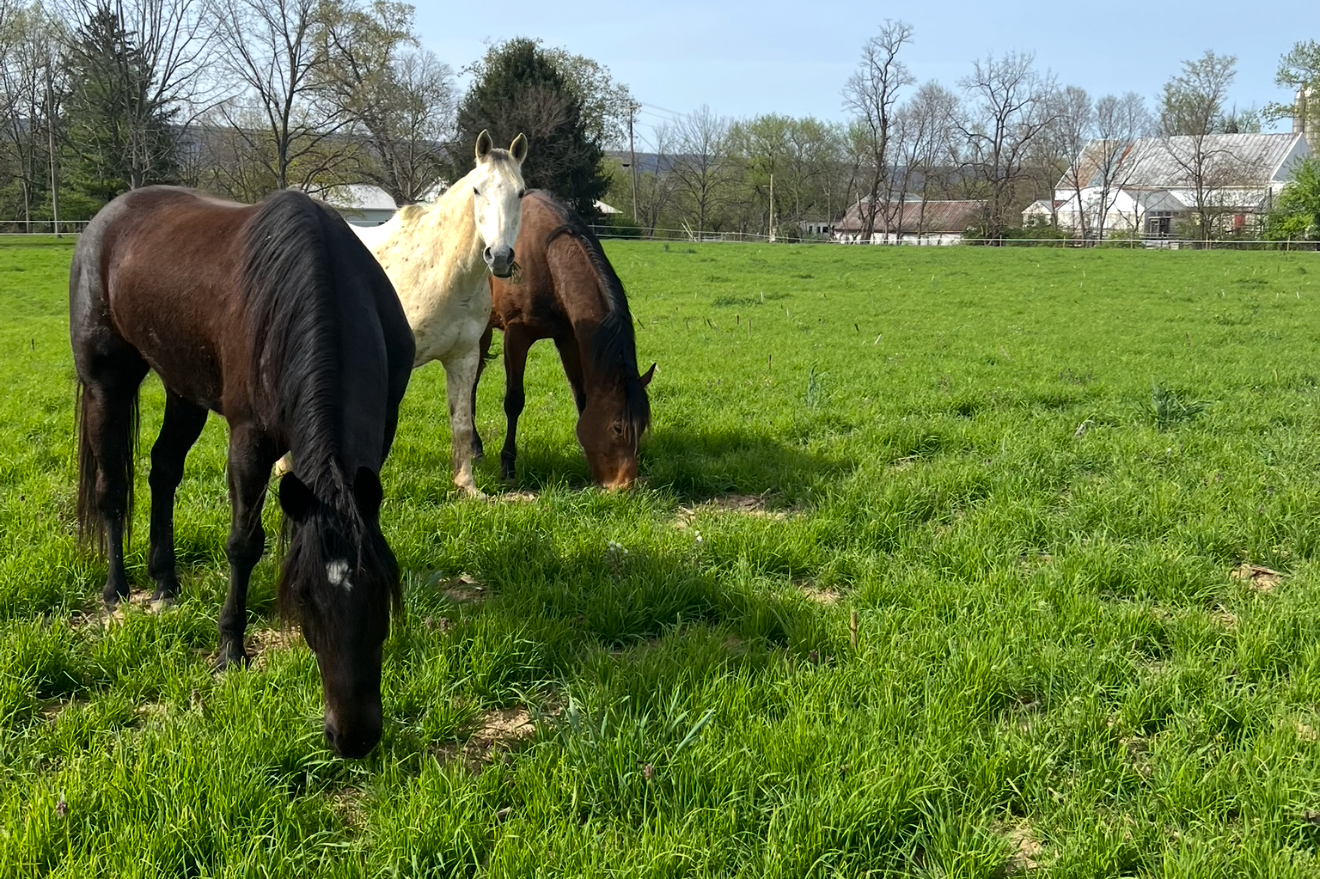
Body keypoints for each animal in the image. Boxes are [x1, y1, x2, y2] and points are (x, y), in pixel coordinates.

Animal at [70, 185, 414, 759]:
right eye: (305, 600)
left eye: (383, 592)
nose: (353, 738)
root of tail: (105, 218)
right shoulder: (249, 441)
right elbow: (243, 545)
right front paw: (230, 648)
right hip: (106, 383)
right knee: (111, 488)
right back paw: (117, 589)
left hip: (182, 387)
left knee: (163, 471)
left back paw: (165, 580)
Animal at [343, 130, 528, 497]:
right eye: (477, 190)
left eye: (520, 192)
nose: (499, 256)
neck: (440, 269)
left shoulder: (464, 358)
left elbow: (462, 424)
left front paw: (467, 486)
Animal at [473, 189, 654, 490]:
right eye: (617, 427)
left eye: (642, 427)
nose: (625, 485)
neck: (547, 257)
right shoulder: (516, 336)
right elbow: (514, 401)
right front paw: (507, 464)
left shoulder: (567, 337)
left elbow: (581, 396)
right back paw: (474, 447)